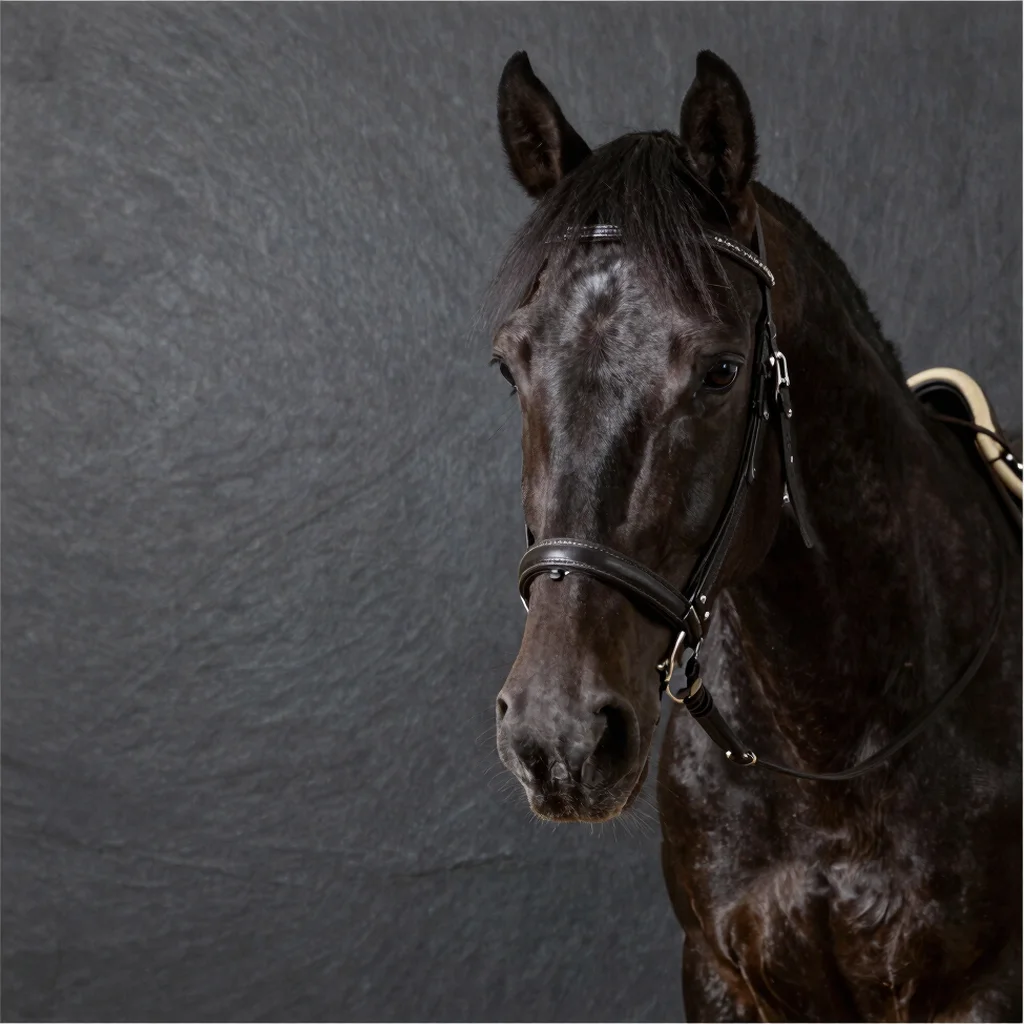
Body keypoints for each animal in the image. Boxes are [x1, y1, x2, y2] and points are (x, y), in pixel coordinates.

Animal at [485, 50, 1022, 1021]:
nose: (558, 735)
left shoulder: (983, 989)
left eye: (721, 370)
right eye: (511, 366)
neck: (829, 748)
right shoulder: (721, 976)